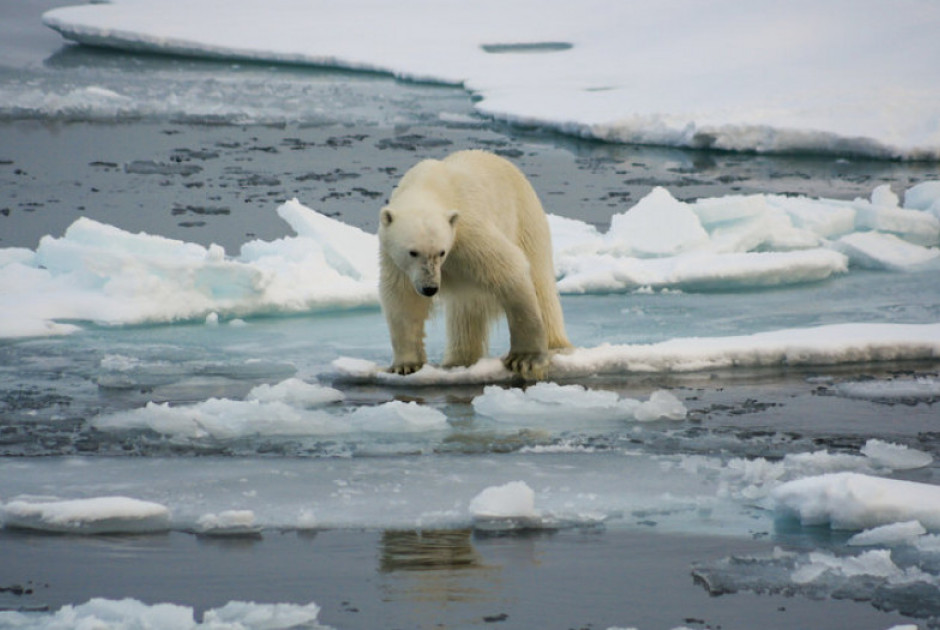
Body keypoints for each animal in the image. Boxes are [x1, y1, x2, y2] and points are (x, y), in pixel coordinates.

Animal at [376, 151, 568, 382]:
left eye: (441, 252)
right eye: (412, 252)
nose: (430, 288)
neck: (429, 185)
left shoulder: (468, 231)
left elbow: (510, 270)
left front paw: (525, 359)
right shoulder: (393, 258)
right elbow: (403, 298)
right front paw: (406, 365)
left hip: (526, 220)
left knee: (541, 285)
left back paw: (557, 346)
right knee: (464, 312)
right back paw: (458, 360)